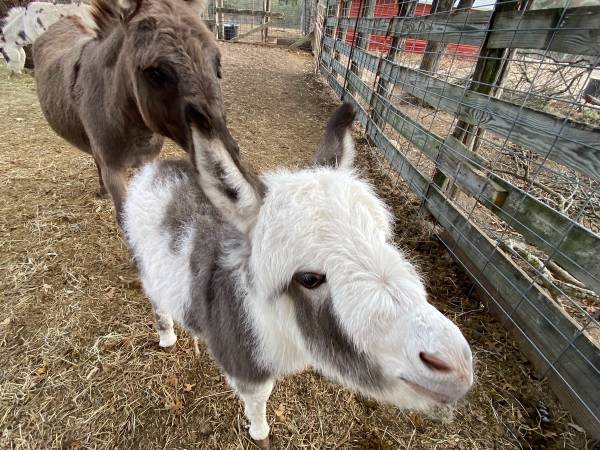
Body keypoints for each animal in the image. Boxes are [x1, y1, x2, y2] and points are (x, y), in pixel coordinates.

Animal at [124, 104, 476, 446]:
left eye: (384, 241)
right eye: (309, 279)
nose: (456, 364)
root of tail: (154, 170)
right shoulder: (245, 364)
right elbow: (259, 399)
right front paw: (260, 434)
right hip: (147, 269)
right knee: (158, 304)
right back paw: (167, 339)